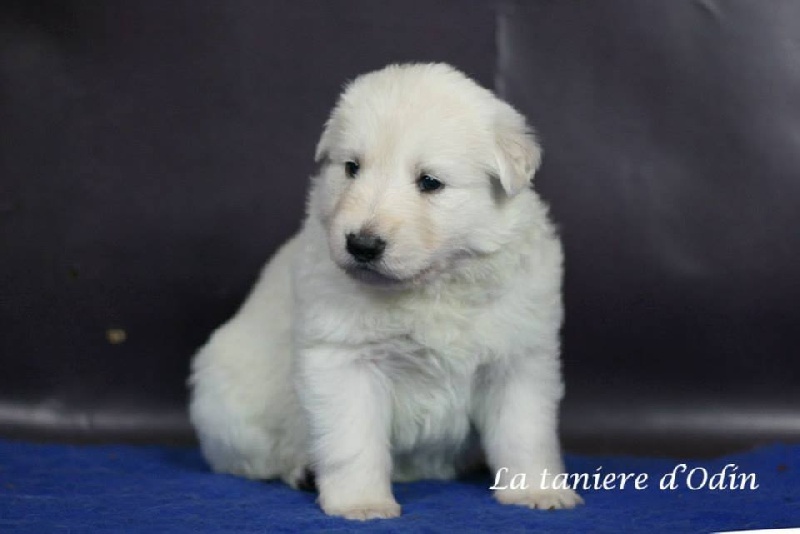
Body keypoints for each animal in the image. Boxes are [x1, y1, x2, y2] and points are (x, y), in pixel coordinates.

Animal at [188, 63, 582, 520]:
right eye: (351, 168)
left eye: (429, 182)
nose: (361, 245)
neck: (432, 286)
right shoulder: (343, 358)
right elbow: (353, 440)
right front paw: (362, 503)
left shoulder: (519, 357)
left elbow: (525, 431)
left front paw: (536, 491)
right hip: (226, 399)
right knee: (257, 459)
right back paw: (302, 471)